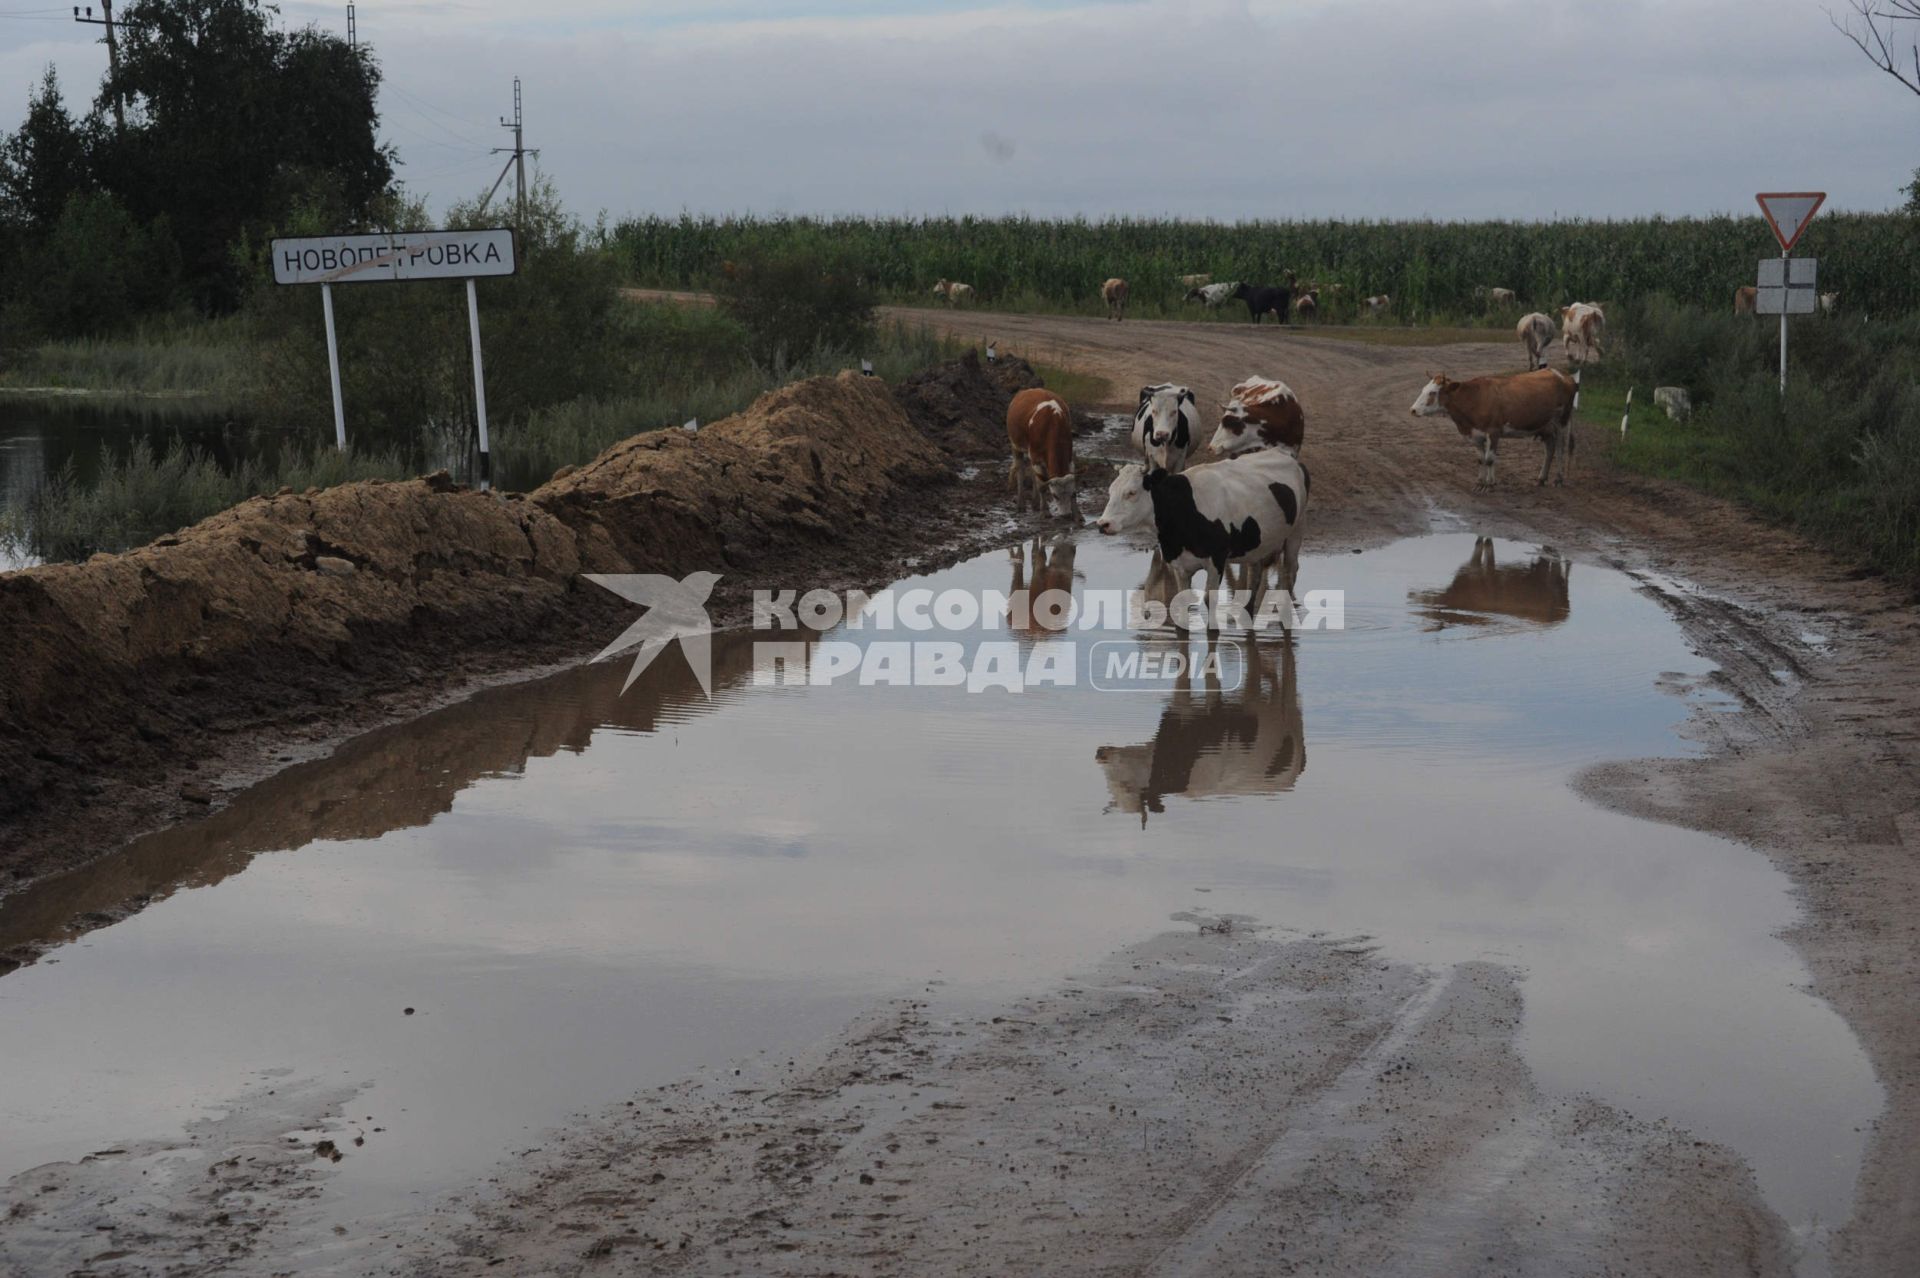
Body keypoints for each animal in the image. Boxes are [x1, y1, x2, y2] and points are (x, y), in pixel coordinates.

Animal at [1006, 385, 1082, 514]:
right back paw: (1021, 504)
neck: (1052, 425)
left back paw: (1035, 503)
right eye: (1055, 495)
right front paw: (1045, 512)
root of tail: (1030, 390)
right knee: (1021, 470)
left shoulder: (1069, 457)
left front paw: (1078, 514)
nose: (1066, 515)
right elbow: (1042, 485)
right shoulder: (1036, 457)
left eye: (1072, 493)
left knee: (1033, 473)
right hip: (1016, 445)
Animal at [1098, 447, 1305, 621]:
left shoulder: (1217, 561)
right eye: (1110, 491)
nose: (1103, 524)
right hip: (1257, 545)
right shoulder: (1179, 565)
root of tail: (1284, 453)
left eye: (1131, 493)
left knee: (1290, 573)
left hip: (1295, 533)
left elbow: (1209, 603)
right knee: (1254, 580)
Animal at [1098, 633, 1305, 821]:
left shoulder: (1213, 715)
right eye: (1110, 784)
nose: (1101, 754)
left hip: (1289, 711)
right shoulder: (1177, 709)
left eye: (1126, 785)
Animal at [1405, 533, 1566, 629]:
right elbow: (1484, 546)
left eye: (1428, 614)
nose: (1409, 595)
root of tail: (1562, 616)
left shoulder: (1478, 573)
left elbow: (1483, 547)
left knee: (1554, 561)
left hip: (1546, 579)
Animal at [1413, 370, 1574, 489]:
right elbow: (1481, 459)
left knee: (1560, 449)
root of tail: (1562, 375)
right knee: (1550, 449)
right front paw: (1480, 482)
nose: (1413, 410)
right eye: (1423, 389)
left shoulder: (1494, 432)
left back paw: (1558, 479)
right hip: (1546, 427)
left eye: (1433, 392)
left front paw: (1489, 484)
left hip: (1562, 422)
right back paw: (1541, 478)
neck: (1475, 398)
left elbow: (1490, 459)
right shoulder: (1475, 435)